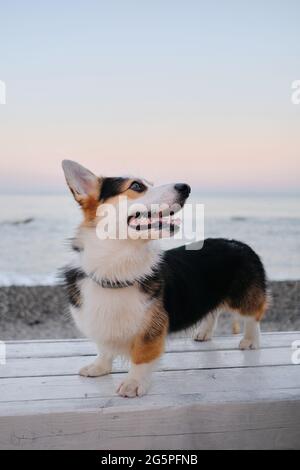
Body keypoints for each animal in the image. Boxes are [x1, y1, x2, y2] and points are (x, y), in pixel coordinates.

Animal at [61, 161, 268, 396]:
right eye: (137, 185)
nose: (186, 187)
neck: (116, 272)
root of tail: (238, 243)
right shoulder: (100, 324)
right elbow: (104, 349)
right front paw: (99, 367)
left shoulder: (151, 329)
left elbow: (141, 356)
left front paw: (133, 383)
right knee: (212, 311)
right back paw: (204, 333)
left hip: (244, 298)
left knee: (253, 316)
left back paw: (250, 340)